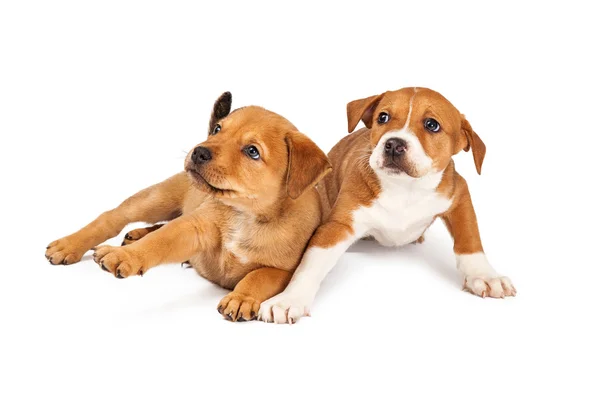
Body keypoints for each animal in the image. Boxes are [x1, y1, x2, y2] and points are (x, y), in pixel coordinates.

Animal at [47, 91, 332, 322]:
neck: (246, 215)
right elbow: (160, 241)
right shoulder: (195, 227)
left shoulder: (285, 270)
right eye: (217, 129)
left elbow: (259, 276)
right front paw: (126, 256)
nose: (199, 151)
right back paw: (71, 245)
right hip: (156, 199)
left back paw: (136, 236)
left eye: (252, 151)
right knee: (113, 217)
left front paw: (241, 298)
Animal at [260, 86, 516, 324]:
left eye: (432, 125)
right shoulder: (338, 226)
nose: (393, 144)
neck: (404, 189)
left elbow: (469, 238)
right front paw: (288, 299)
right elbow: (310, 264)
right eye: (383, 117)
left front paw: (485, 275)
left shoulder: (459, 191)